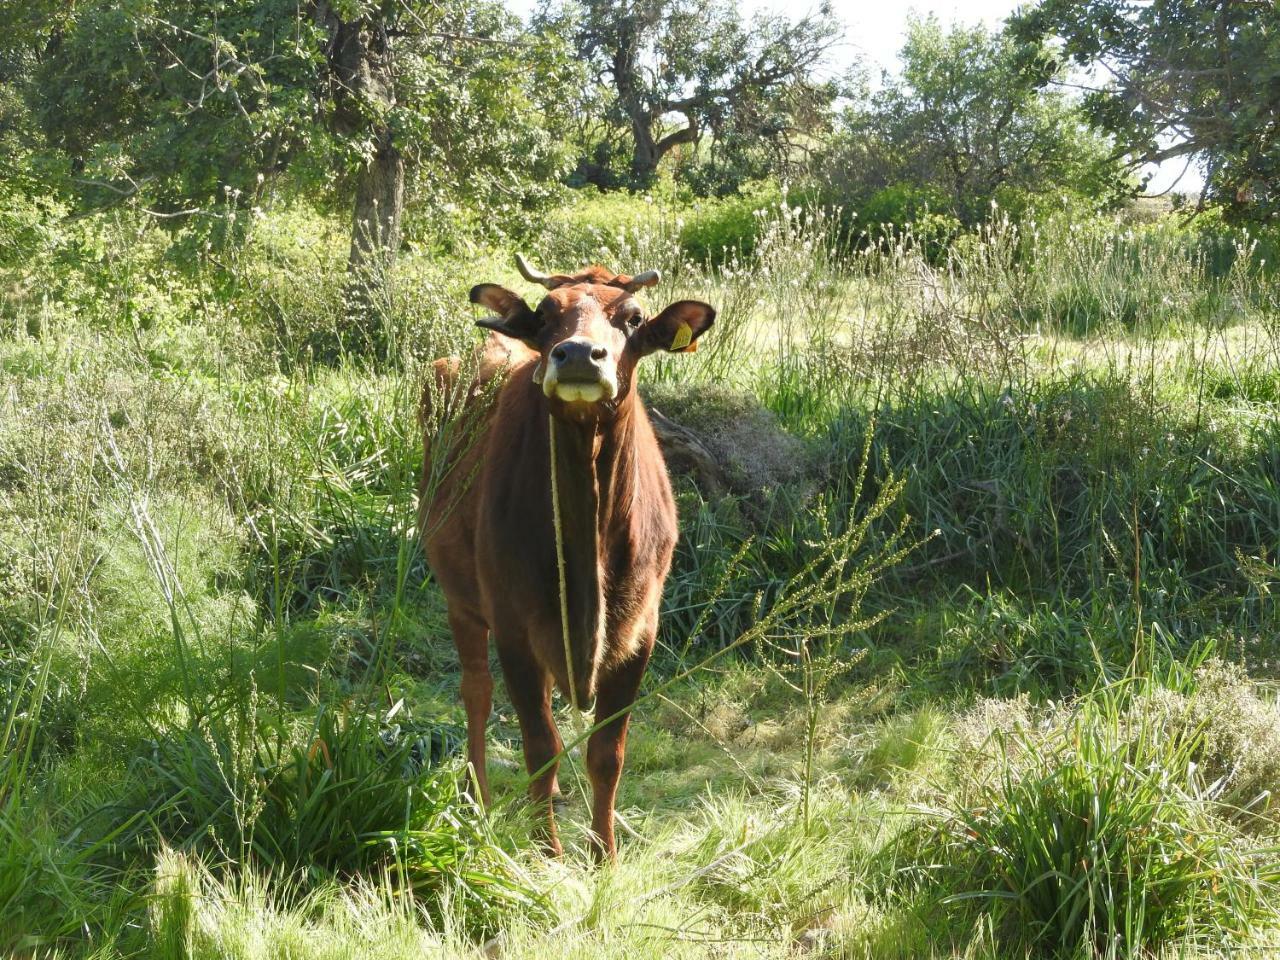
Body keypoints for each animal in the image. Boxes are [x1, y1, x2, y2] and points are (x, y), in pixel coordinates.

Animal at [422, 252, 716, 860]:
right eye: (545, 314)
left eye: (633, 317)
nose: (579, 354)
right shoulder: (513, 627)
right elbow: (540, 744)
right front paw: (547, 852)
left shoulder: (641, 632)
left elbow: (607, 752)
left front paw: (603, 854)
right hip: (461, 599)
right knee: (476, 692)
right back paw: (478, 796)